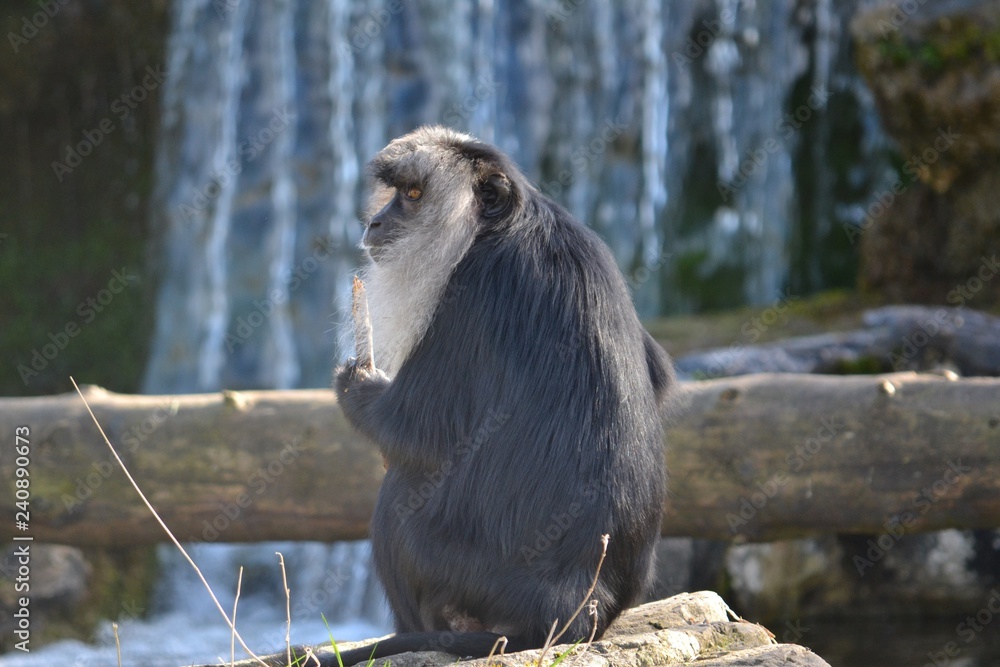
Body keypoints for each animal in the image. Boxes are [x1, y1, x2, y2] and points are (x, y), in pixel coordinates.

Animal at [281, 126, 673, 666]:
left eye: (413, 195)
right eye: (396, 193)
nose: (375, 222)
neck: (503, 227)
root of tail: (575, 606)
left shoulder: (469, 290)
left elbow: (413, 430)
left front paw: (356, 385)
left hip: (460, 575)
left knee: (401, 494)